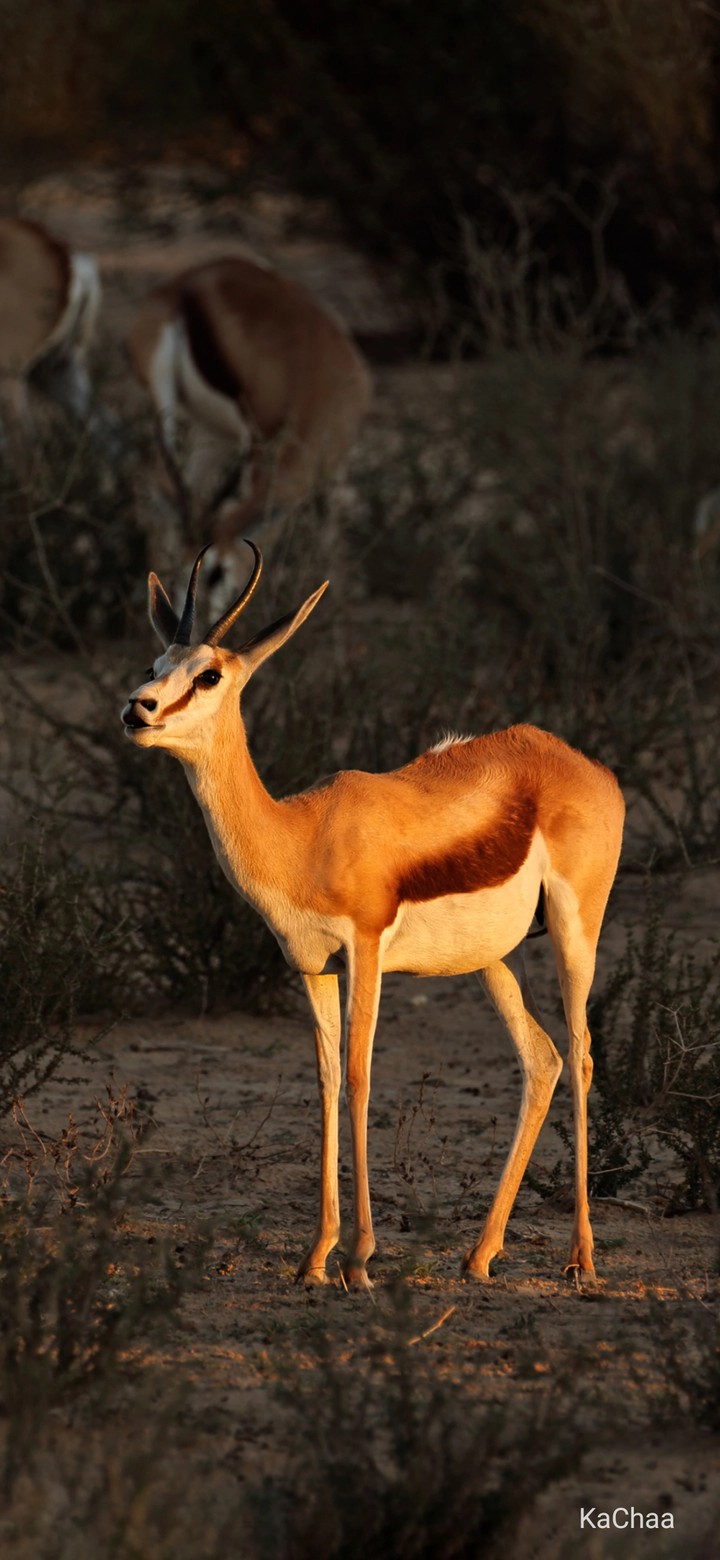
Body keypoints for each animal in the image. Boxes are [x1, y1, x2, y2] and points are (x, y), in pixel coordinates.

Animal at [121, 545, 625, 1289]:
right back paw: (479, 1256)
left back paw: (581, 1258)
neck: (301, 835)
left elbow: (360, 1079)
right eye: (157, 664)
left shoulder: (366, 952)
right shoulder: (313, 966)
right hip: (494, 958)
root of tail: (588, 767)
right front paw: (314, 1257)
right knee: (543, 1060)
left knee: (584, 1053)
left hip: (573, 933)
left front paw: (359, 1258)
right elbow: (328, 1082)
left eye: (208, 674)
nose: (138, 709)